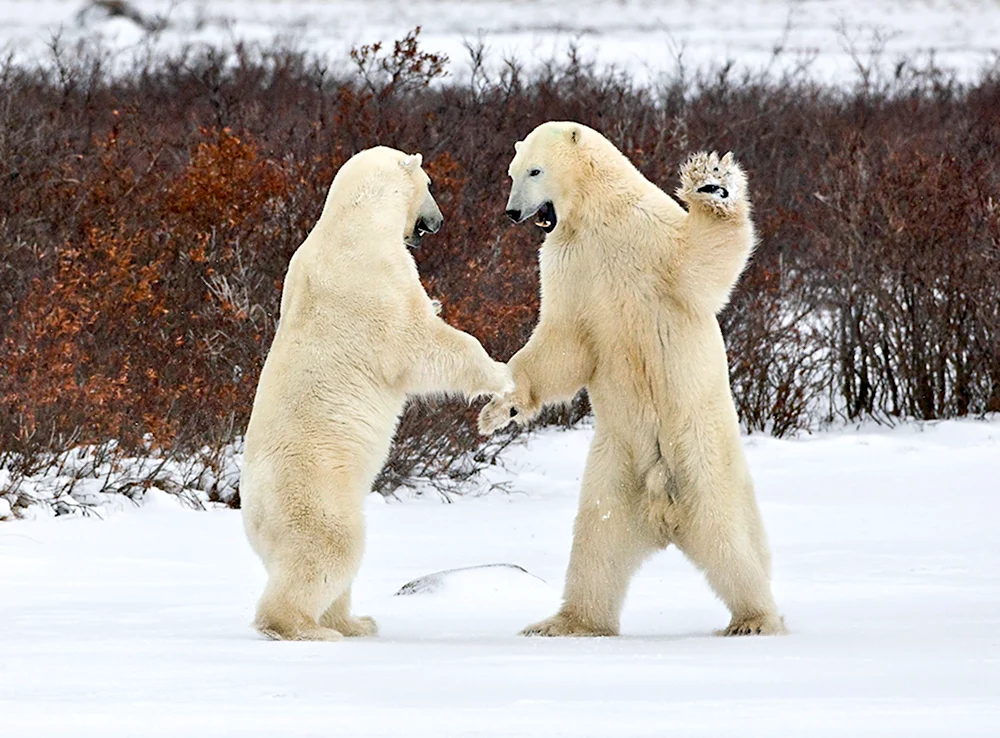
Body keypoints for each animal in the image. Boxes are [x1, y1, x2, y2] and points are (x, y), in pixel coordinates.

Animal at [238, 145, 512, 640]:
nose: (438, 221)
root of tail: (253, 513)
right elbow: (421, 342)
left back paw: (356, 622)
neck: (355, 219)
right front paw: (499, 372)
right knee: (328, 549)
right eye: (431, 185)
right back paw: (304, 627)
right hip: (316, 490)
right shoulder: (376, 279)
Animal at [480, 123, 784, 636]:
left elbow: (700, 264)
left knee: (729, 538)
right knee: (596, 544)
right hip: (616, 468)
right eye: (512, 172)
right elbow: (563, 341)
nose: (513, 212)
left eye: (534, 170)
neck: (596, 217)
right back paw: (565, 623)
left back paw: (755, 619)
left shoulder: (650, 236)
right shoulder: (567, 265)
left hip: (703, 455)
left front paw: (712, 183)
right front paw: (499, 407)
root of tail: (665, 514)